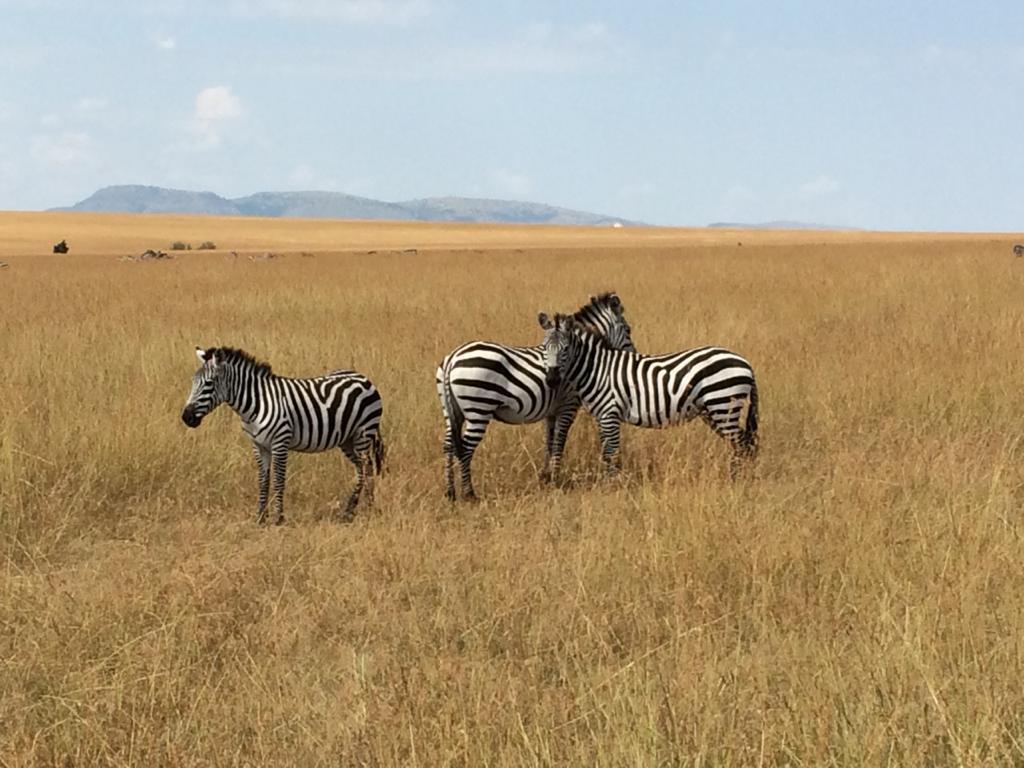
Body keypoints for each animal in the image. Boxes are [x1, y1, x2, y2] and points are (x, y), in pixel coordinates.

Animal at [181, 347, 384, 524]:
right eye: (193, 381)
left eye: (209, 383)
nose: (186, 417)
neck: (256, 403)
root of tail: (362, 377)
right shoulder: (259, 446)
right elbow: (263, 481)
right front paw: (261, 518)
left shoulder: (280, 442)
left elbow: (278, 481)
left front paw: (278, 518)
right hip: (347, 439)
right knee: (361, 469)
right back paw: (355, 509)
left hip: (363, 433)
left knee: (367, 468)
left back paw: (365, 509)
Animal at [437, 292, 636, 501]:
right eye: (628, 330)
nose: (633, 355)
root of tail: (453, 357)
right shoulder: (568, 406)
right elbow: (559, 442)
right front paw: (556, 479)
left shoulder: (552, 411)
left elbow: (549, 442)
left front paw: (546, 477)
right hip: (479, 408)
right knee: (466, 448)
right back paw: (469, 493)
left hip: (452, 411)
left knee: (448, 446)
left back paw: (450, 492)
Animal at [537, 312, 758, 478]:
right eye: (545, 348)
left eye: (565, 349)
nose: (552, 379)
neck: (597, 369)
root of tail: (745, 362)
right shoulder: (602, 417)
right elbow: (607, 453)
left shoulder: (610, 414)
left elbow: (611, 453)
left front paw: (612, 486)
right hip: (713, 411)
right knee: (744, 444)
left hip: (723, 405)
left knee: (743, 444)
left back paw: (737, 480)